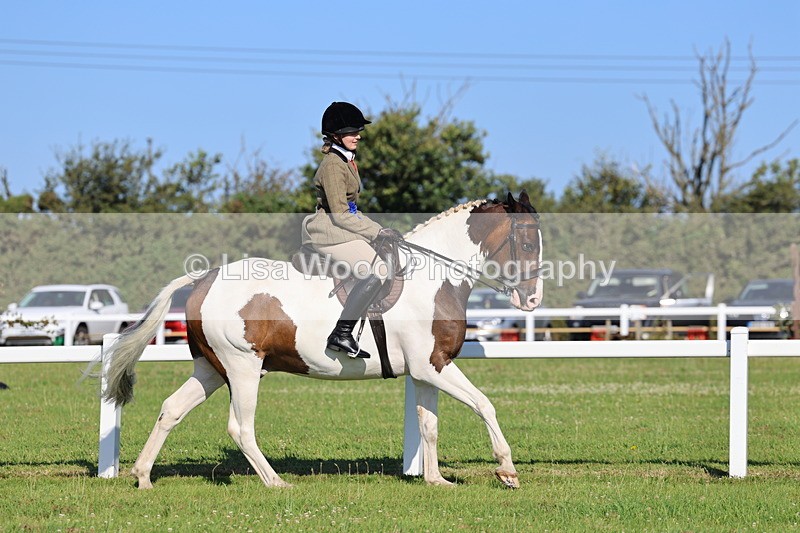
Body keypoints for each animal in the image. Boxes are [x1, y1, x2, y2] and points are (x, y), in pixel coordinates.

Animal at [102, 191, 543, 489]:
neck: (433, 279)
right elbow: (484, 404)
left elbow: (428, 424)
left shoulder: (425, 370)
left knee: (171, 410)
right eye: (526, 243)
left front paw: (436, 480)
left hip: (211, 368)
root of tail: (203, 278)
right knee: (240, 427)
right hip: (242, 367)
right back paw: (276, 482)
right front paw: (507, 470)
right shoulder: (432, 365)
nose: (532, 300)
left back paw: (143, 476)